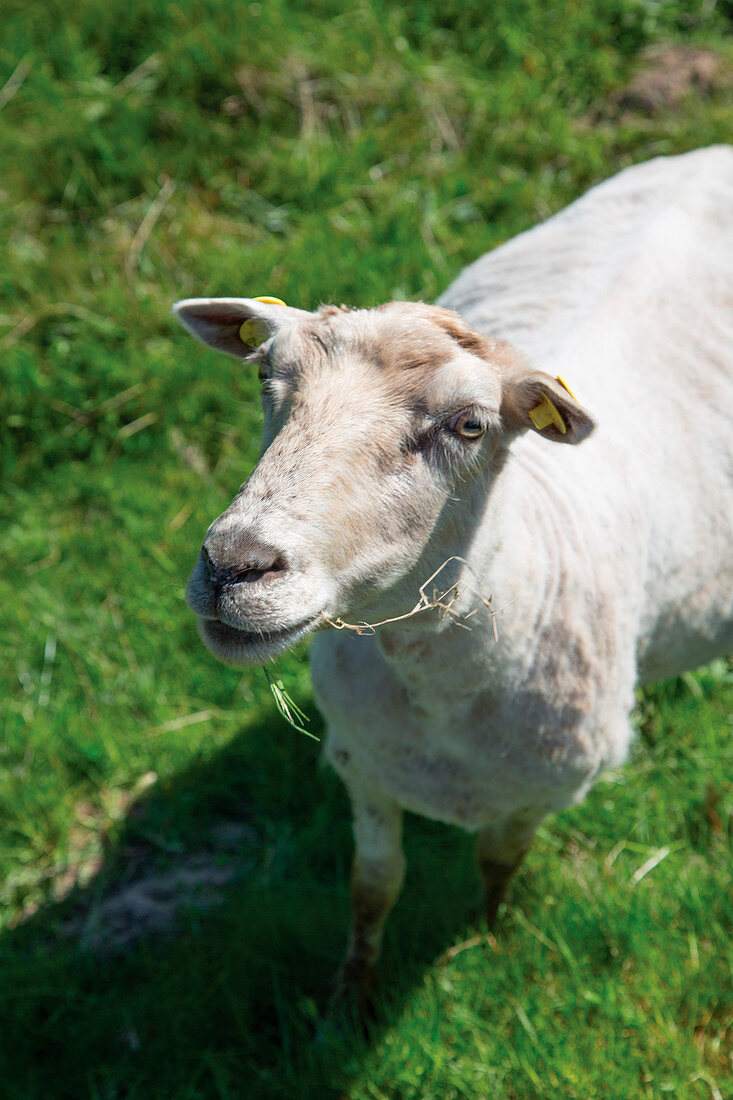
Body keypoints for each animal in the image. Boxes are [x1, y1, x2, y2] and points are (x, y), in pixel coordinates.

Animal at [173, 146, 730, 1012]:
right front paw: (352, 990)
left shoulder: (543, 793)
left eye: (468, 425)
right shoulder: (361, 762)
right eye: (267, 379)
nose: (233, 564)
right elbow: (373, 884)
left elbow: (497, 865)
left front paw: (486, 934)